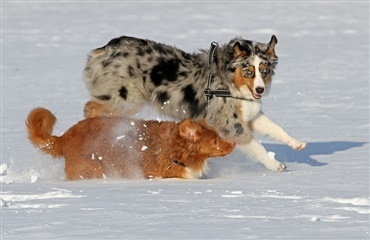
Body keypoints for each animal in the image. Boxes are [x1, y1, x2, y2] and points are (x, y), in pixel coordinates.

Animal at [26, 107, 236, 180]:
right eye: (215, 140)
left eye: (218, 135)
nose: (233, 144)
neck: (174, 150)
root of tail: (65, 136)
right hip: (91, 169)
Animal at [84, 34, 306, 172]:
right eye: (248, 71)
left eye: (264, 70)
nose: (260, 90)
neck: (229, 83)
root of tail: (110, 46)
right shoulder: (229, 123)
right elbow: (256, 145)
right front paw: (275, 165)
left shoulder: (250, 114)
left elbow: (276, 128)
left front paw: (297, 143)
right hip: (126, 97)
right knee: (91, 108)